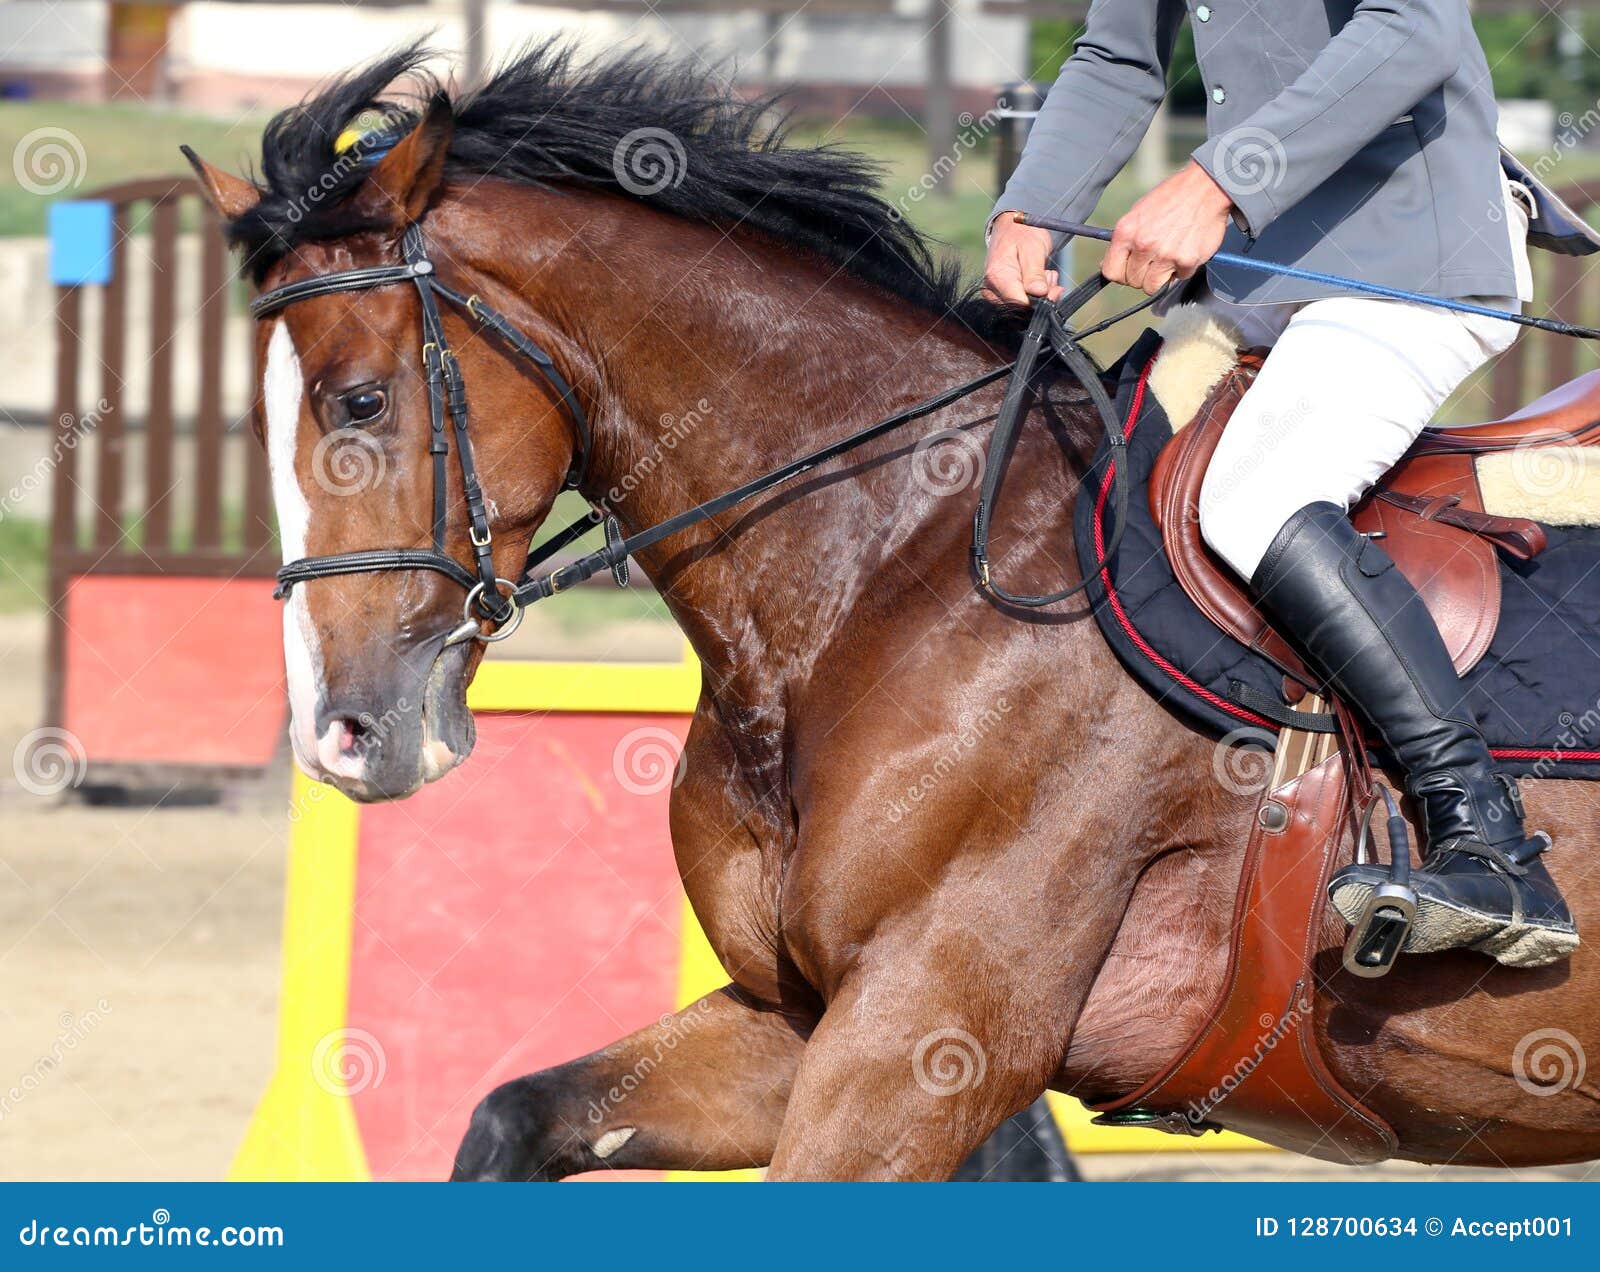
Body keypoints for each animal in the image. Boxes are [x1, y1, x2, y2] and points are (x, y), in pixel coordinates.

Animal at [187, 42, 1600, 1184]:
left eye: (360, 403)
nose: (343, 735)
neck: (874, 571)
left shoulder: (927, 1034)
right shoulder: (802, 1020)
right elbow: (516, 1117)